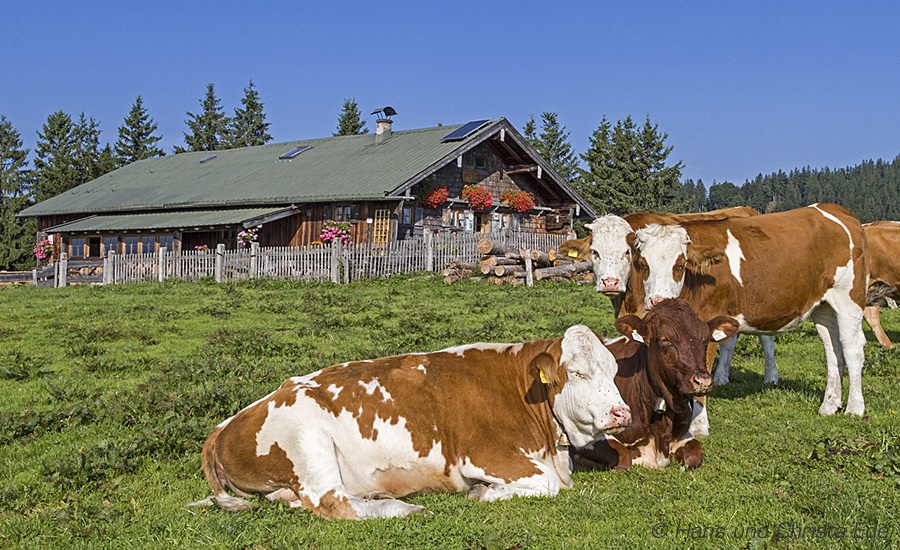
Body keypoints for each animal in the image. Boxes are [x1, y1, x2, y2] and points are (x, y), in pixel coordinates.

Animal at [188, 328, 632, 520]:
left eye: (613, 371)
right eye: (576, 373)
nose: (621, 414)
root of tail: (226, 423)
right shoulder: (484, 455)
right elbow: (548, 484)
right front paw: (483, 494)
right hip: (308, 440)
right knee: (331, 503)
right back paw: (403, 507)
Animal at [576, 300, 740, 472]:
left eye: (705, 339)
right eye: (664, 339)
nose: (703, 381)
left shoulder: (683, 434)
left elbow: (695, 455)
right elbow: (623, 457)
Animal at [624, 204, 872, 418]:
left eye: (680, 265)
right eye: (643, 264)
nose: (658, 300)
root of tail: (835, 208)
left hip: (848, 298)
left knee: (852, 348)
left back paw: (854, 408)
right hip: (823, 306)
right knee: (833, 349)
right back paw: (829, 405)